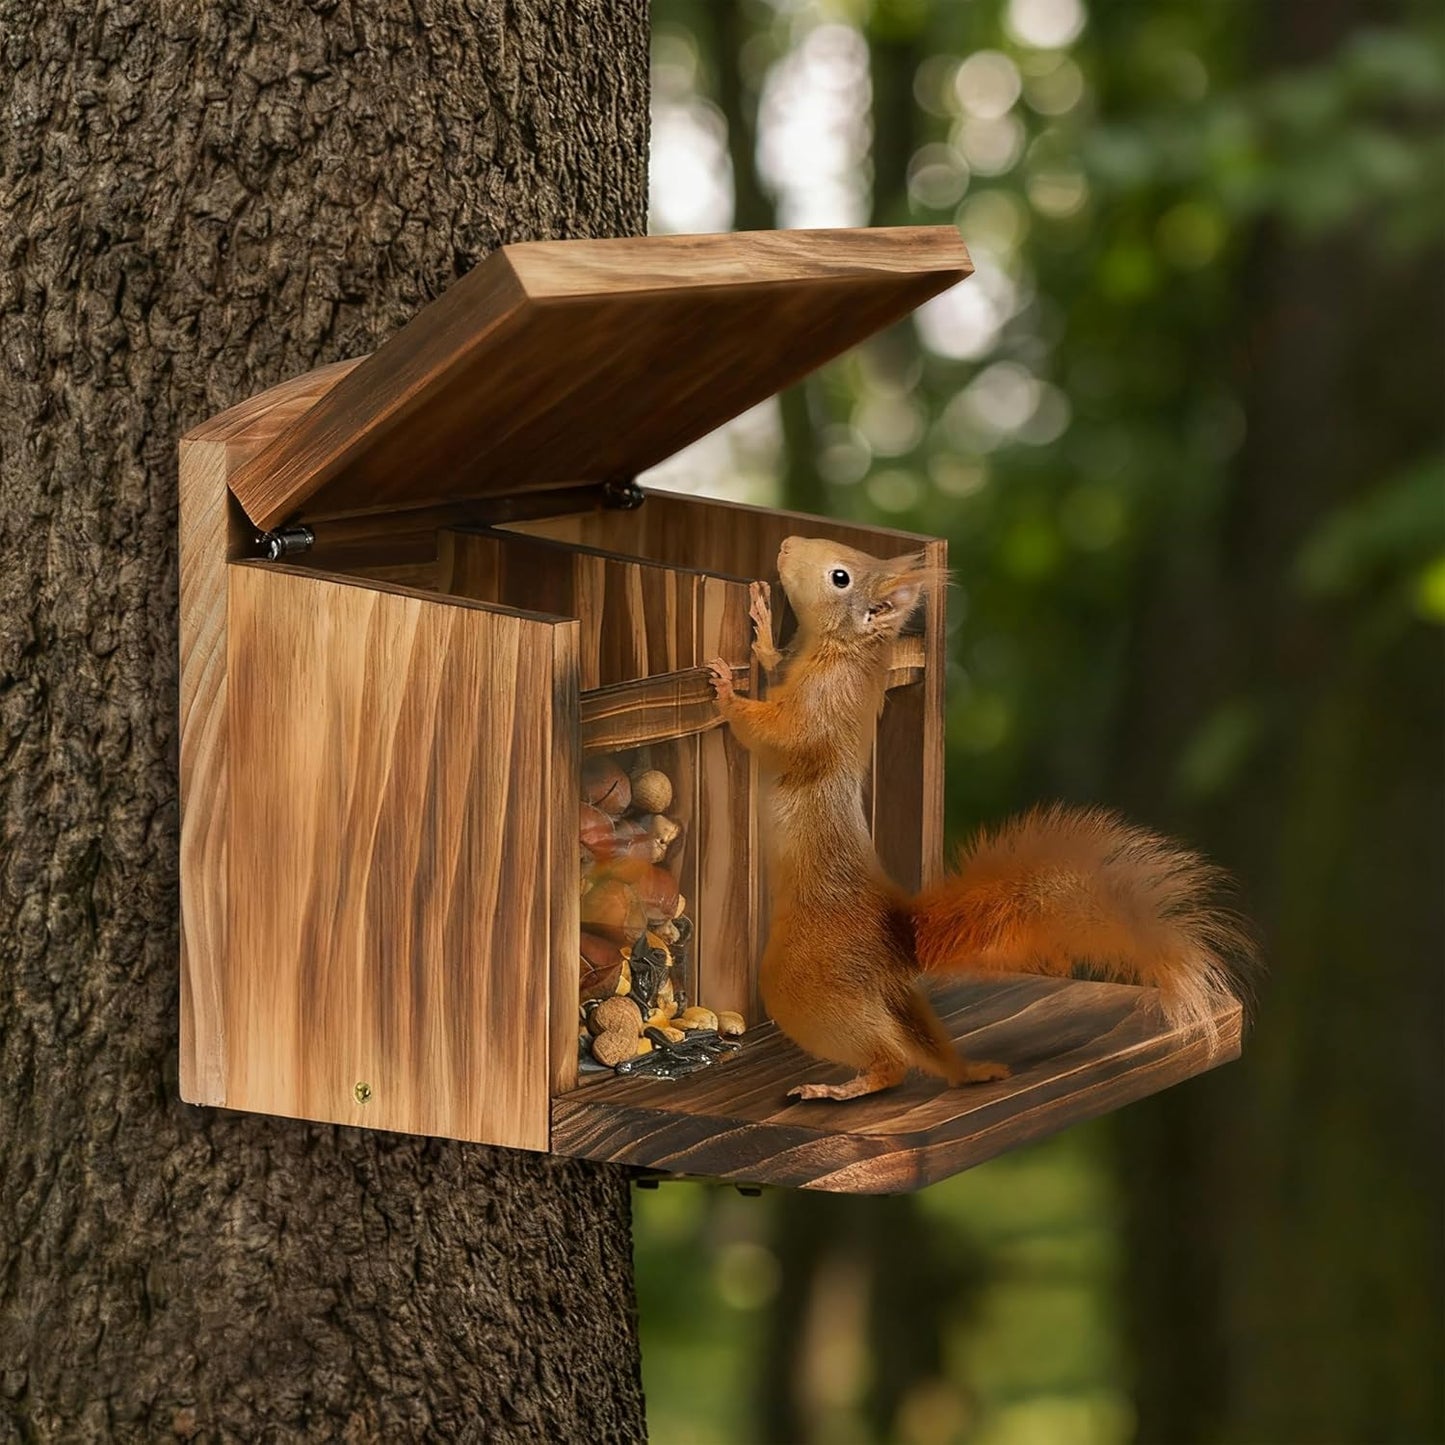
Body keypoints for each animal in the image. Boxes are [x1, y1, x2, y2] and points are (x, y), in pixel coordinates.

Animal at [706, 536, 1255, 1102]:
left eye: (841, 577)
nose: (787, 544)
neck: (839, 651)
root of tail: (898, 941)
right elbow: (774, 664)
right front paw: (762, 625)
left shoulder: (823, 708)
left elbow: (779, 736)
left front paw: (727, 692)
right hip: (892, 998)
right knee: (924, 1046)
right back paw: (968, 1072)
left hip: (803, 977)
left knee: (891, 1061)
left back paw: (840, 1088)